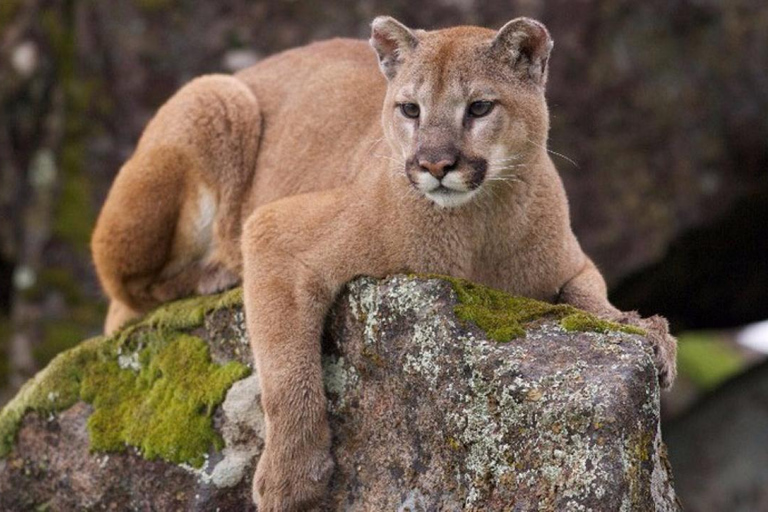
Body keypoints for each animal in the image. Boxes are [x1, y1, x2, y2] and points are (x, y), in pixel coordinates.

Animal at [91, 15, 680, 508]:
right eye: (410, 109)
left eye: (479, 107)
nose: (435, 164)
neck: (477, 226)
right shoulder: (274, 232)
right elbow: (286, 369)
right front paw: (292, 477)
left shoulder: (573, 262)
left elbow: (590, 296)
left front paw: (645, 331)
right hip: (215, 96)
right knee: (126, 295)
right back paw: (216, 273)